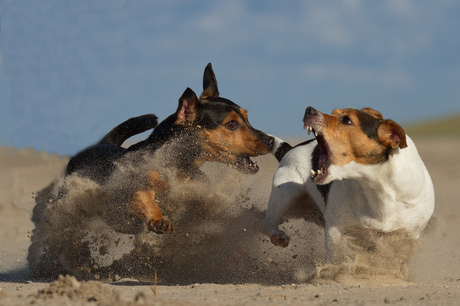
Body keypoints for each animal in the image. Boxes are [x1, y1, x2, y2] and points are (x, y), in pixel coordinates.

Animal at [64, 62, 274, 234]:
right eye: (231, 124)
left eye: (247, 117)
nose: (271, 141)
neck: (177, 164)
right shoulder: (130, 193)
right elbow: (144, 198)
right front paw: (158, 219)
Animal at [262, 107, 434, 266]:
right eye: (334, 112)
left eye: (347, 120)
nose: (309, 110)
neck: (376, 187)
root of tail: (290, 149)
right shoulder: (335, 229)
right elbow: (336, 259)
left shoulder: (408, 236)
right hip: (285, 193)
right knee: (268, 222)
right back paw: (278, 236)